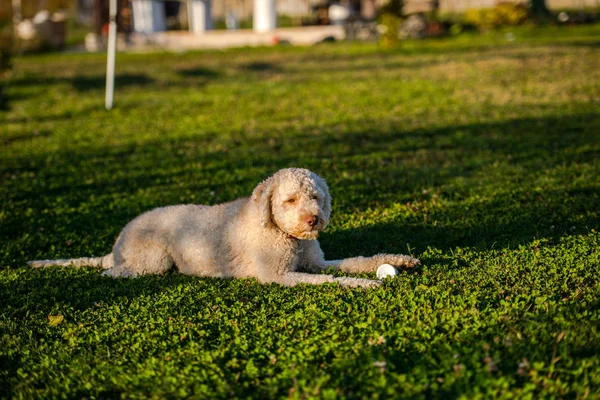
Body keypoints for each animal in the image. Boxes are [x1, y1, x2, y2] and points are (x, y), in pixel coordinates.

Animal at [28, 168, 420, 288]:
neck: (282, 234)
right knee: (115, 272)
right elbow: (332, 281)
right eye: (290, 200)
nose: (314, 221)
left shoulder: (316, 263)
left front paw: (399, 261)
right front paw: (365, 285)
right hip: (152, 261)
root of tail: (117, 244)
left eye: (315, 197)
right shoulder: (279, 276)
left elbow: (358, 261)